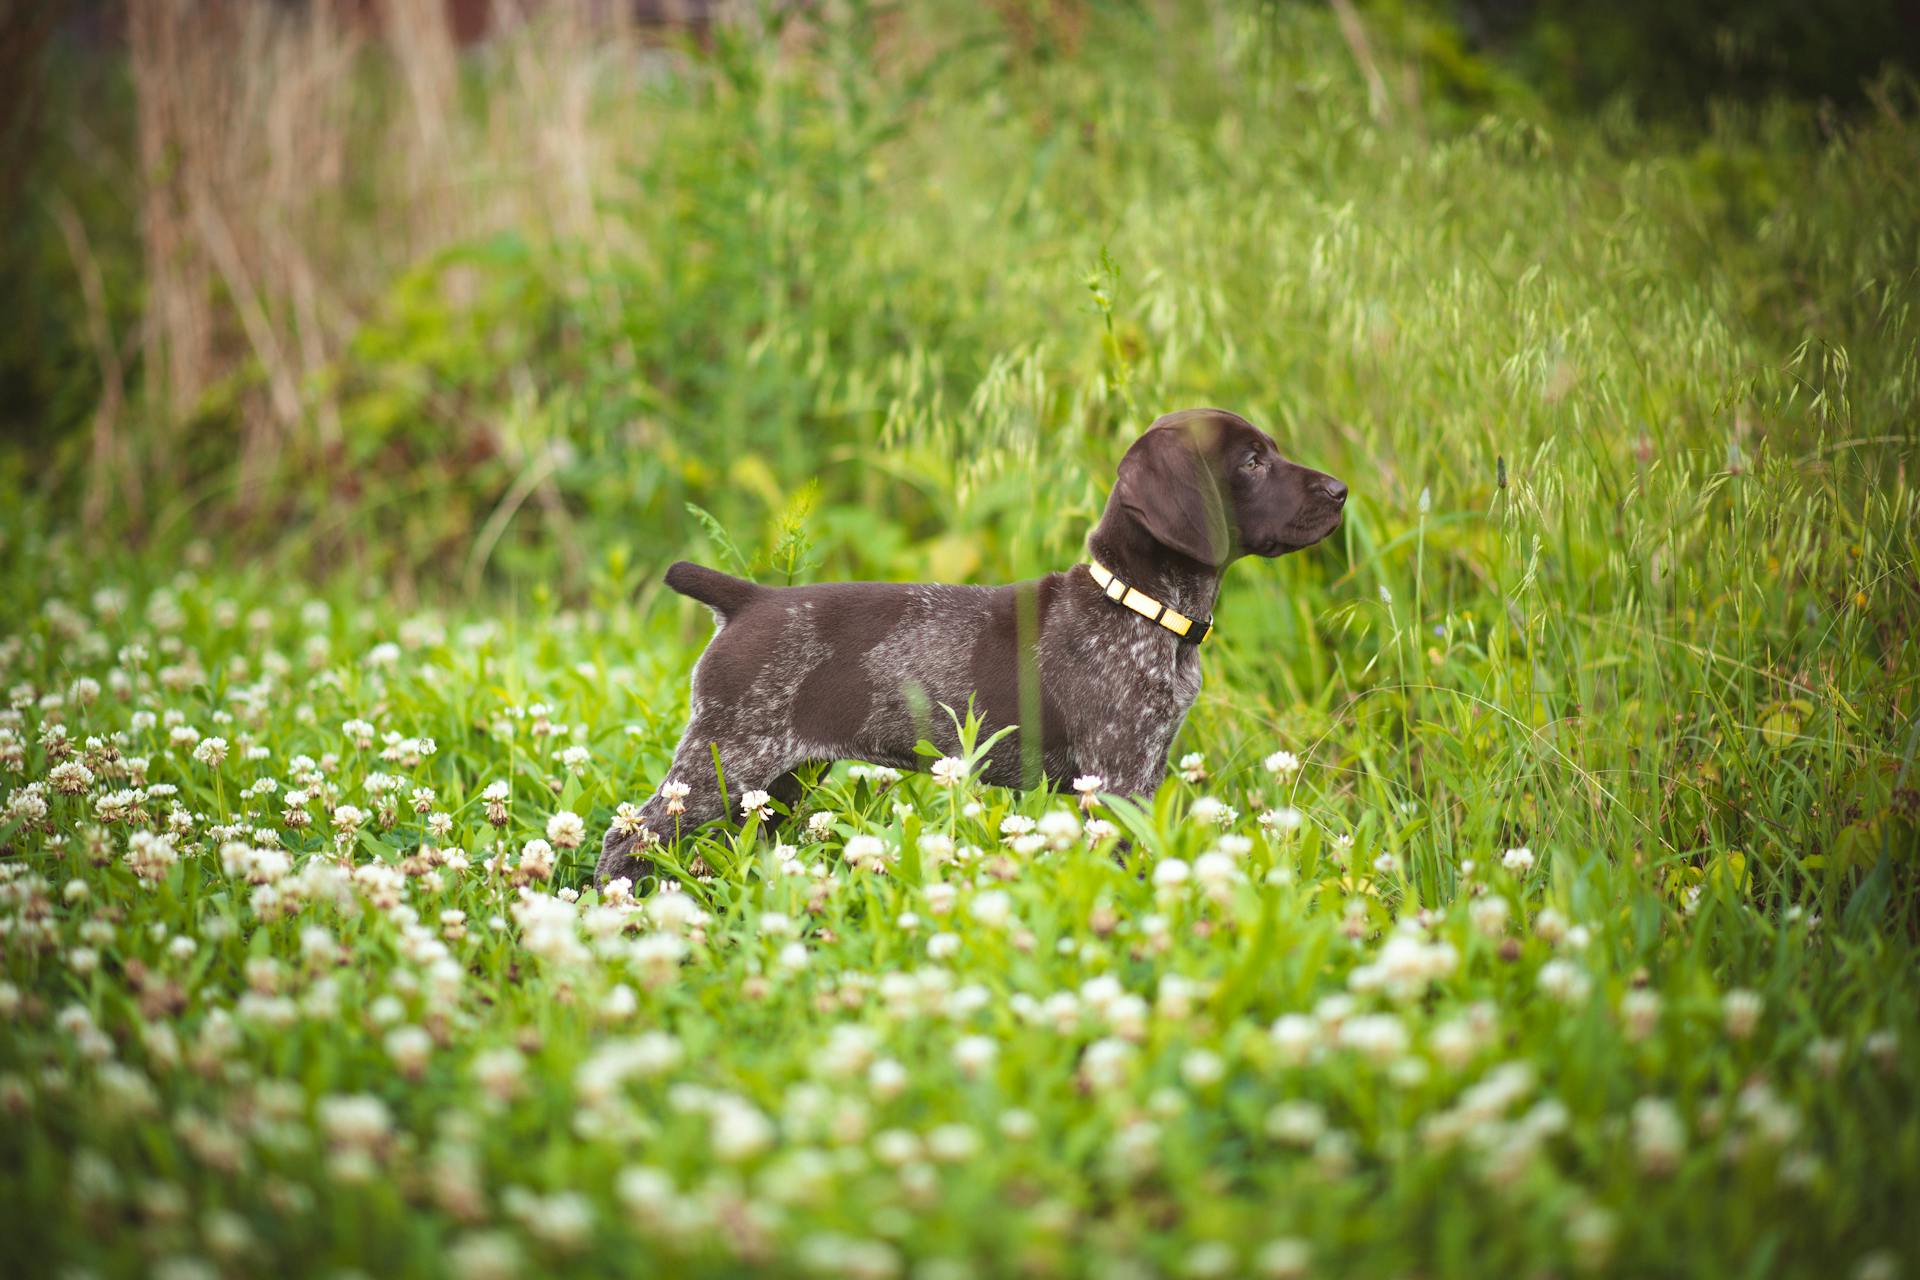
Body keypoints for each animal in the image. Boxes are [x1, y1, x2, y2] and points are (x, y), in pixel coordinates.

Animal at [591, 404, 1344, 886]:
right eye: (1253, 461)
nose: (1341, 489)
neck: (1139, 602)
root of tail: (748, 599)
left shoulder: (1146, 769)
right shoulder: (1118, 776)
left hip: (777, 783)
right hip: (725, 762)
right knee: (624, 835)